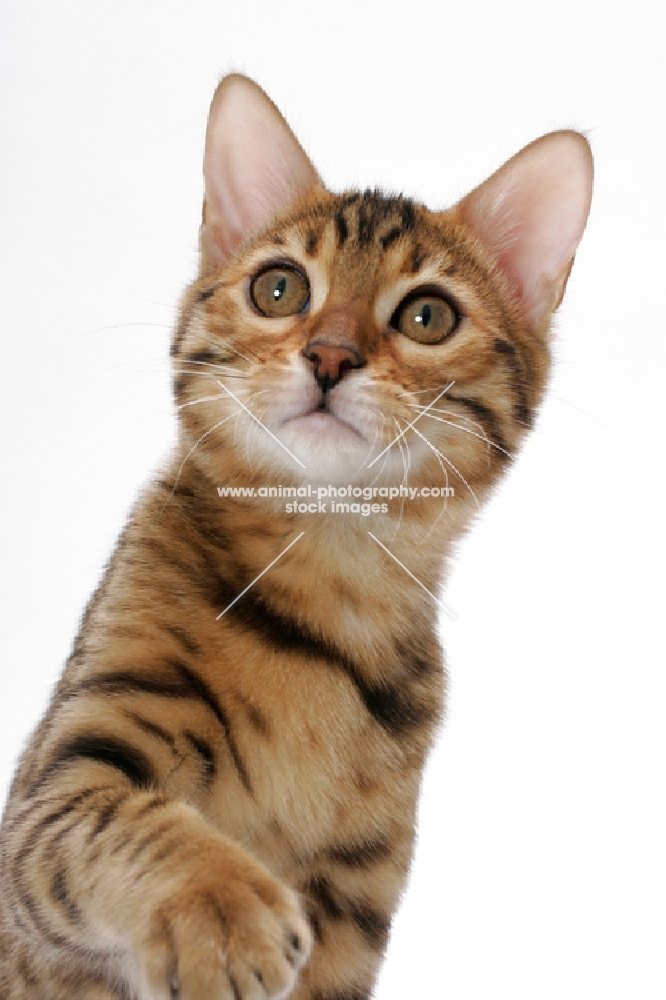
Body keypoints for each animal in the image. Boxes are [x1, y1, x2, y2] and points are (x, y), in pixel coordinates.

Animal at [0, 74, 592, 996]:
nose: (330, 356)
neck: (328, 569)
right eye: (279, 290)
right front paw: (218, 901)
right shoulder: (64, 776)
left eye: (428, 316)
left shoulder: (358, 902)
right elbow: (121, 821)